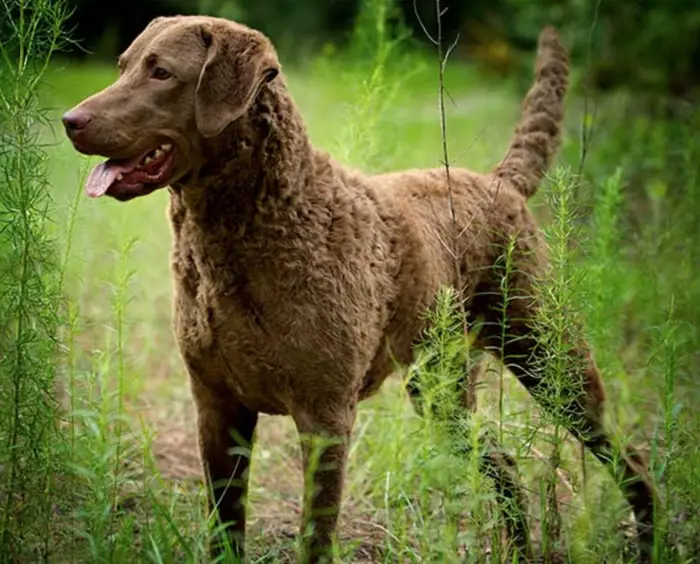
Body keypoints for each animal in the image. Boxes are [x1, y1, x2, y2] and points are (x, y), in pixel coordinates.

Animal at [63, 16, 660, 564]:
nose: (70, 120)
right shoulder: (215, 406)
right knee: (506, 465)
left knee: (631, 464)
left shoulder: (325, 417)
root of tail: (499, 182)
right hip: (439, 388)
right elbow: (225, 529)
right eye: (122, 66)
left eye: (161, 72)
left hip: (547, 355)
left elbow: (315, 538)